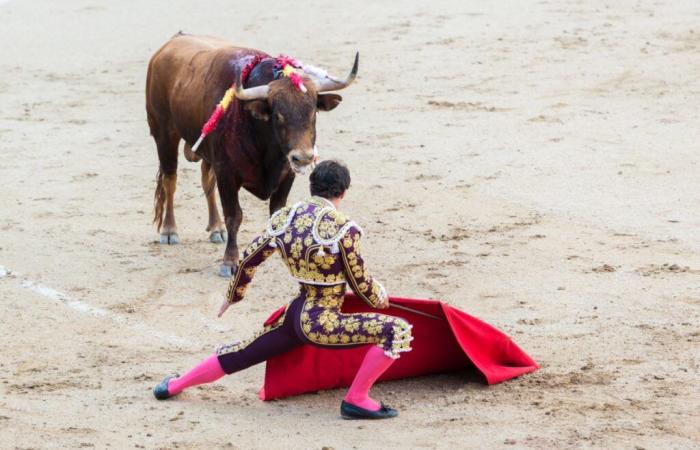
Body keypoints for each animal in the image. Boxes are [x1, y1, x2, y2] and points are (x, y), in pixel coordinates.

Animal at [145, 31, 358, 276]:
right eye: (278, 115)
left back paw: (215, 228)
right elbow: (234, 215)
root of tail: (172, 42)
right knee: (170, 180)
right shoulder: (227, 174)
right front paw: (230, 261)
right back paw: (169, 230)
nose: (303, 157)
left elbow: (277, 213)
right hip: (164, 134)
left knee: (206, 181)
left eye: (313, 112)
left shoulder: (286, 174)